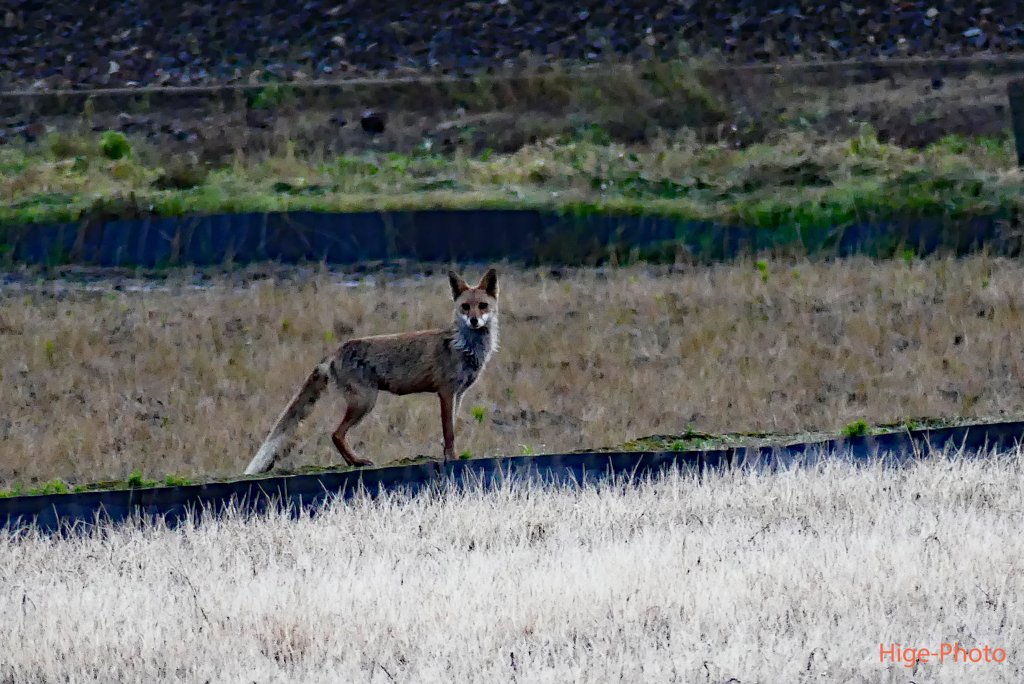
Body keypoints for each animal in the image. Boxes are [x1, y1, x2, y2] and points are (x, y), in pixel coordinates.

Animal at [243, 266, 499, 475]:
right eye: (465, 307)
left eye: (483, 306)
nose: (474, 321)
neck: (464, 347)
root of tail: (335, 352)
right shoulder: (445, 392)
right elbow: (449, 433)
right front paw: (452, 459)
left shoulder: (458, 395)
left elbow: (450, 431)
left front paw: (449, 456)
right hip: (365, 402)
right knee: (335, 434)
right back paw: (357, 462)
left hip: (363, 402)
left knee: (336, 435)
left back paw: (352, 462)